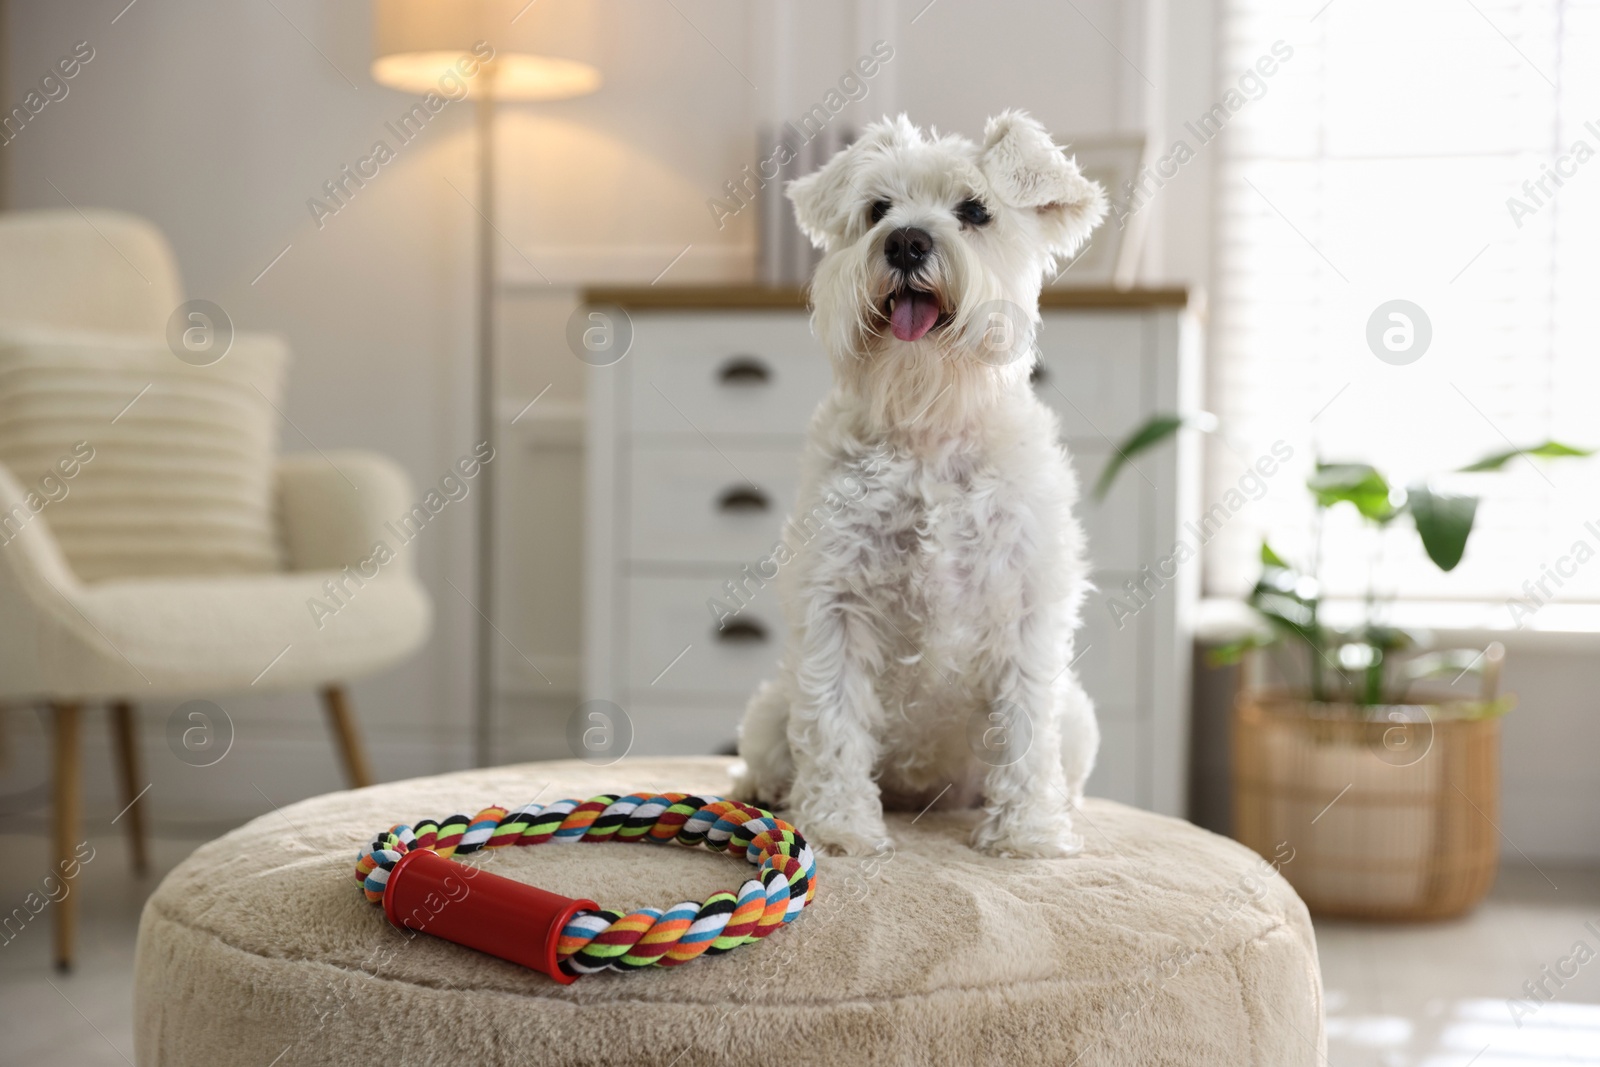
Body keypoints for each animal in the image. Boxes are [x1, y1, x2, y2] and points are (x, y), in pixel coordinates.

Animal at [732, 112, 1107, 857]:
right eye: (878, 209)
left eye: (976, 210)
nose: (905, 241)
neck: (929, 422)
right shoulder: (836, 601)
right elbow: (833, 722)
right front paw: (841, 828)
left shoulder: (1026, 606)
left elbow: (1024, 728)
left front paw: (1026, 836)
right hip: (768, 709)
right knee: (773, 751)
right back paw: (768, 793)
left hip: (1079, 718)